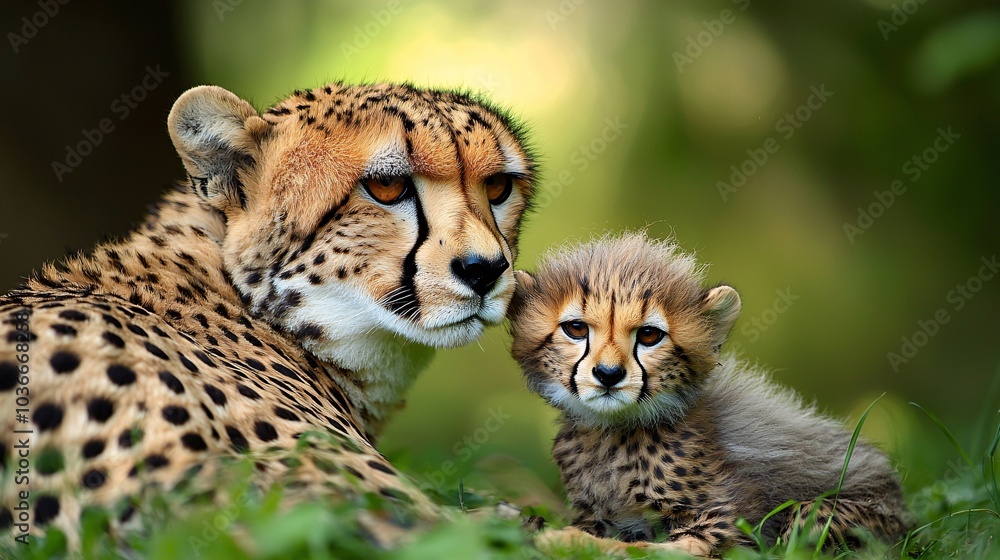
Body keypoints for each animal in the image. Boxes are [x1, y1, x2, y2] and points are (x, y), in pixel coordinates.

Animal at [508, 233, 911, 557]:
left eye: (650, 335)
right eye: (576, 329)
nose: (609, 375)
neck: (613, 434)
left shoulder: (732, 521)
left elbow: (650, 548)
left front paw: (565, 540)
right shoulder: (594, 512)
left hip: (821, 516)